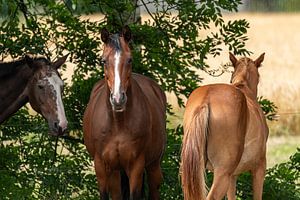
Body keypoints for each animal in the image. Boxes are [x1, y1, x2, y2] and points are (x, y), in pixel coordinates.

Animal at [82, 25, 166, 199]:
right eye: (103, 61)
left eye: (130, 59)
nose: (118, 99)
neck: (117, 124)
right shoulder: (101, 166)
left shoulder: (136, 166)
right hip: (115, 172)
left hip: (154, 167)